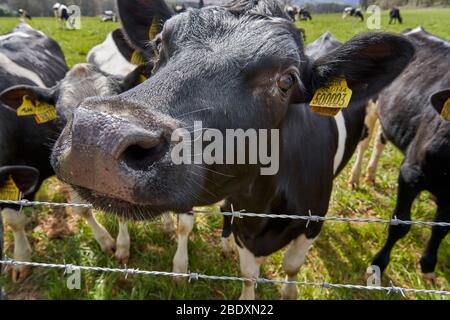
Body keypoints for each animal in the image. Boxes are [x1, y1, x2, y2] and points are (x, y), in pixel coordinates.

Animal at [51, 0, 414, 300]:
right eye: (158, 45)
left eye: (287, 80)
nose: (99, 136)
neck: (265, 203)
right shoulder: (243, 219)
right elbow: (248, 272)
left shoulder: (314, 219)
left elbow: (292, 267)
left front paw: (289, 291)